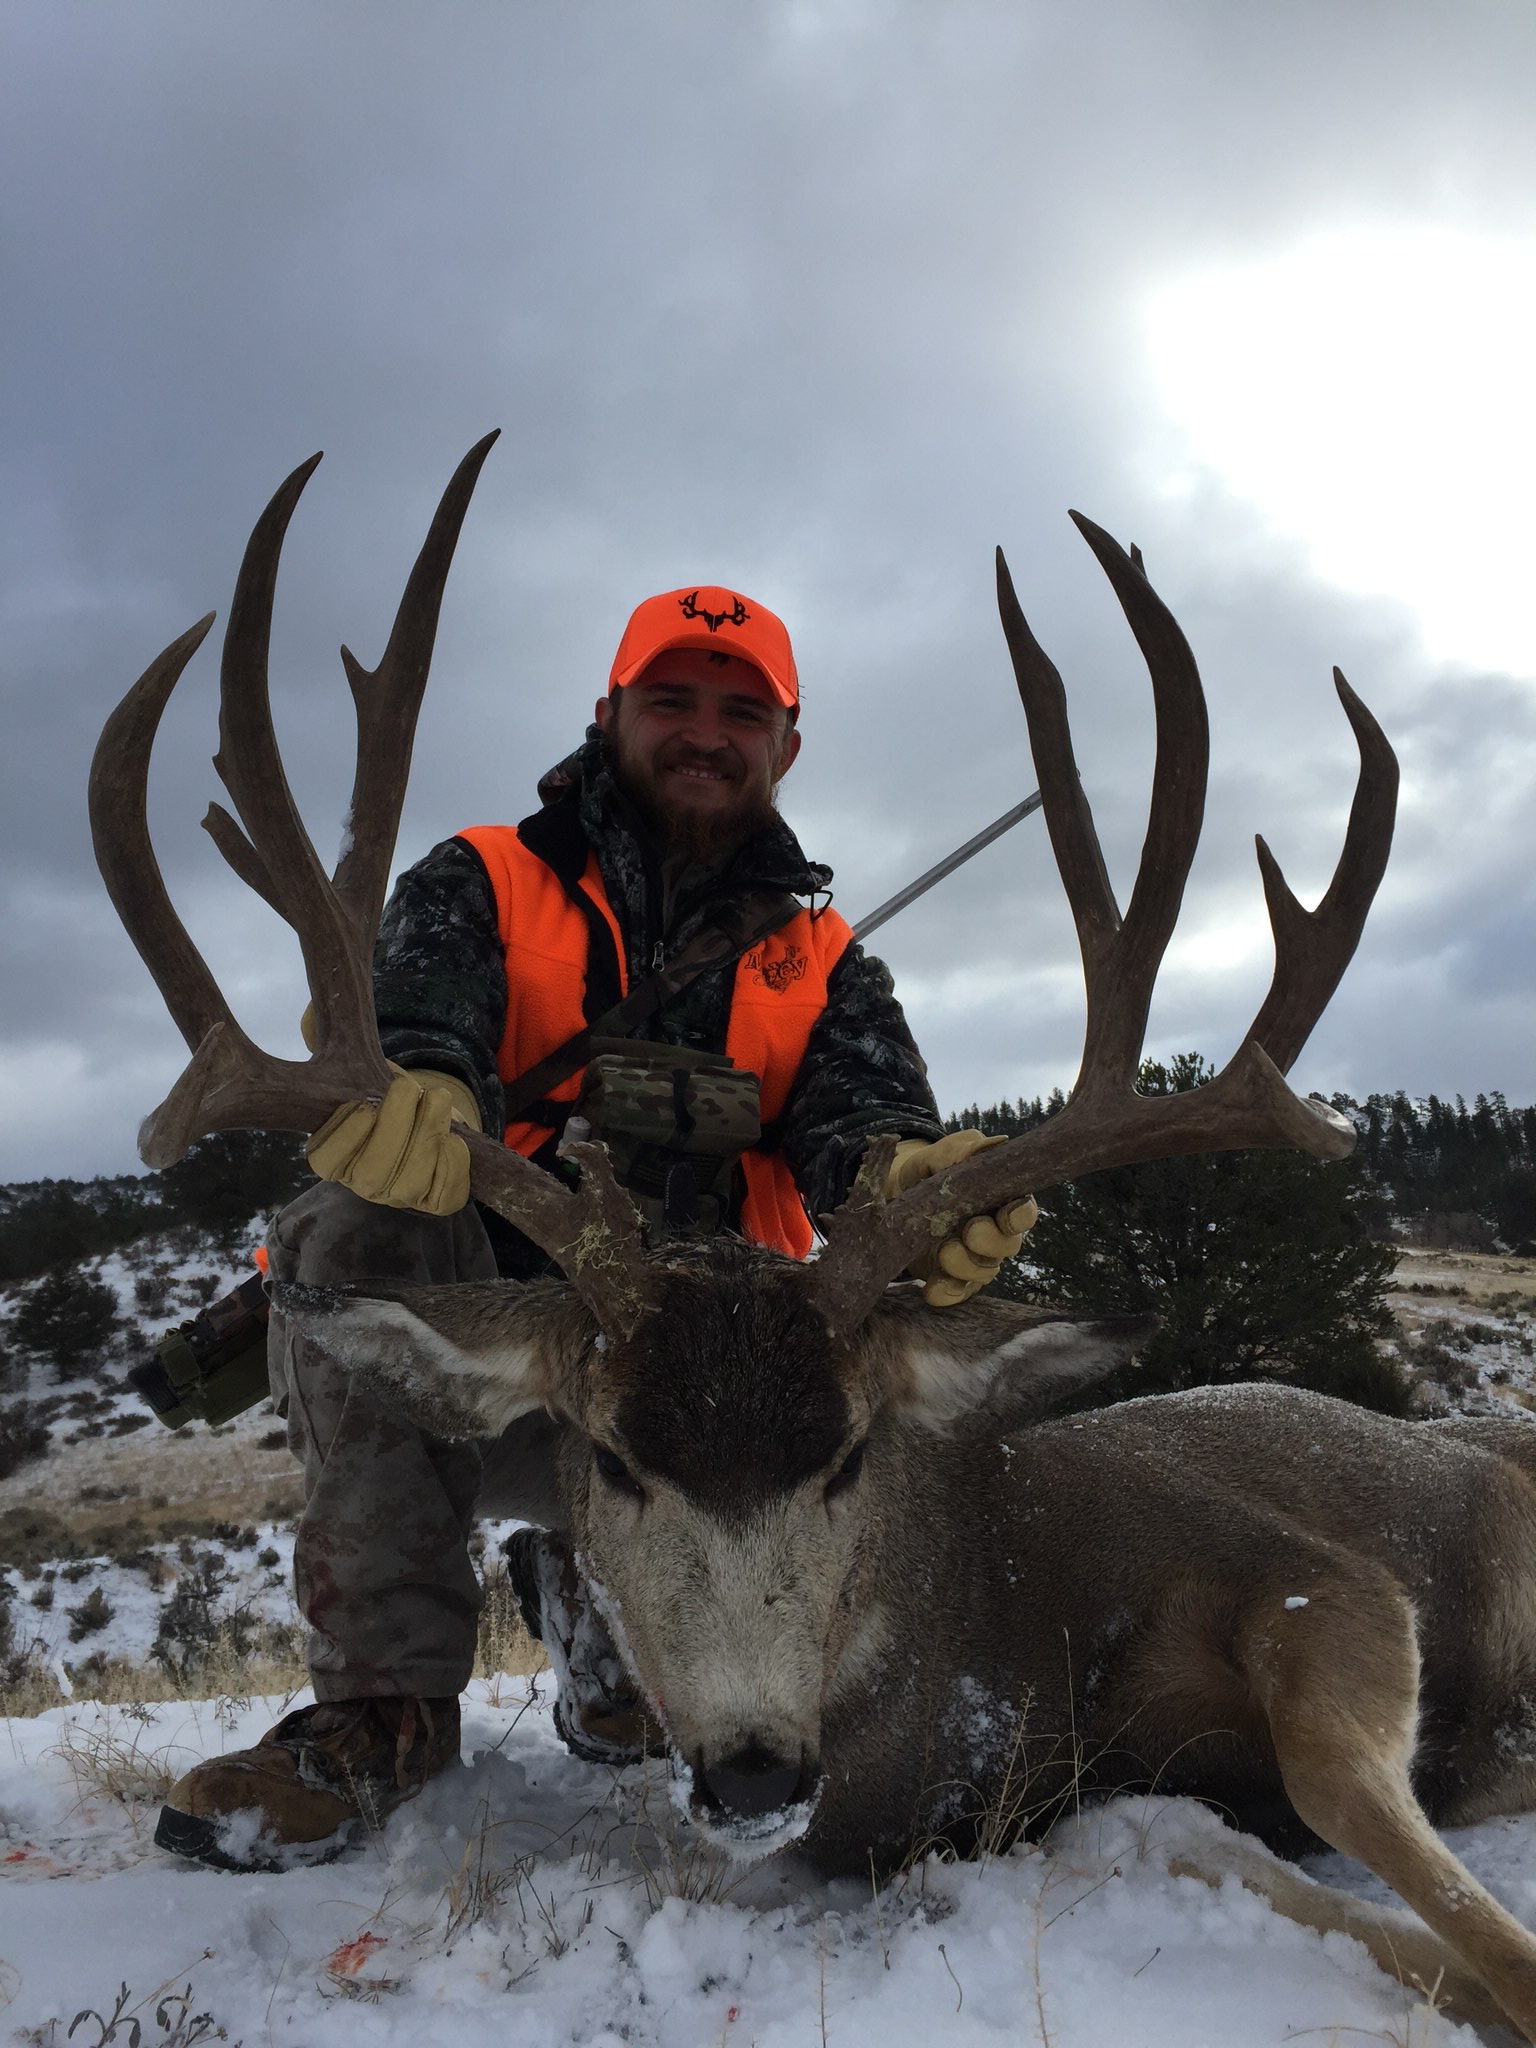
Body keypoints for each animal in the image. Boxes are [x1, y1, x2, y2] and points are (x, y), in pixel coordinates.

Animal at [91, 435, 1536, 2040]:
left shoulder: (1313, 1576)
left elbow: (1396, 1850)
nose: (753, 1768)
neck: (988, 1633)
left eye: (847, 1454)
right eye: (612, 1457)